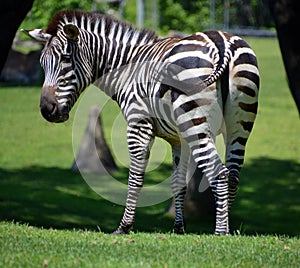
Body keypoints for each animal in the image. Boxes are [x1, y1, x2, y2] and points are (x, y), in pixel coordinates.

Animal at [22, 9, 258, 234]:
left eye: (65, 59)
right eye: (42, 63)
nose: (47, 110)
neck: (127, 66)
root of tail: (222, 43)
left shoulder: (138, 124)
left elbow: (135, 178)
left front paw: (124, 226)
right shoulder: (179, 139)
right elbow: (178, 182)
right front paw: (179, 228)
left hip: (196, 123)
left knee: (219, 174)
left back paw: (220, 232)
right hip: (239, 126)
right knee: (233, 176)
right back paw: (226, 227)